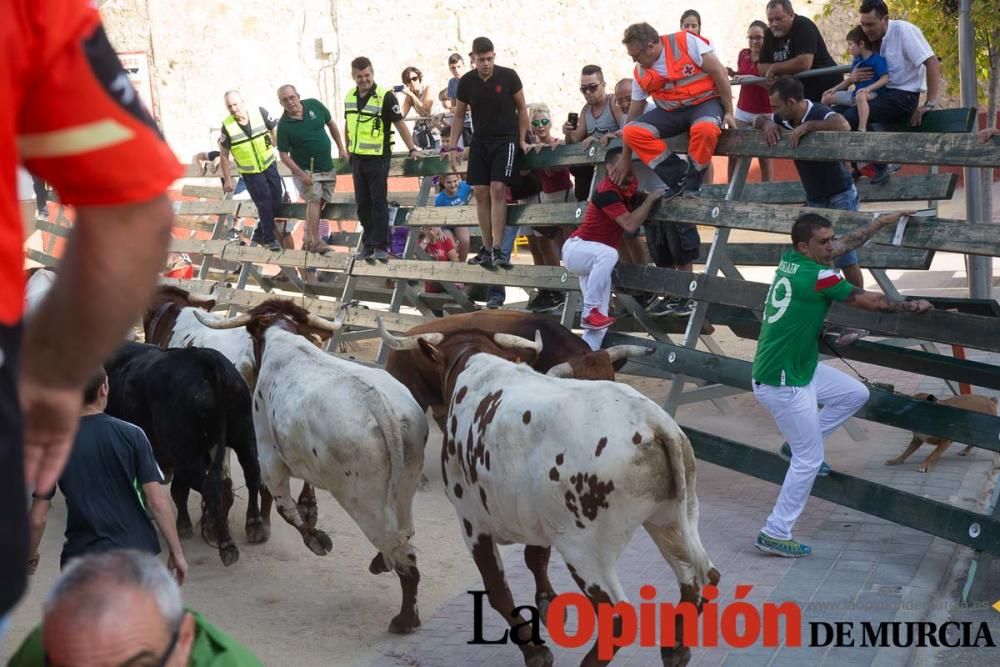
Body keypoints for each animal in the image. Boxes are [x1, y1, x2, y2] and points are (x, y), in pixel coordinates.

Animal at [105, 342, 266, 568]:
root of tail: (205, 360)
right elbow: (178, 490)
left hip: (185, 454)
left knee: (214, 488)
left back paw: (226, 544)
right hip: (243, 432)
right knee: (250, 473)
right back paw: (253, 525)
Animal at [197, 300, 428, 636]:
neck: (283, 340)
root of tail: (381, 410)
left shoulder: (268, 455)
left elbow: (284, 506)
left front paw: (316, 539)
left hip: (365, 502)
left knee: (403, 553)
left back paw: (404, 619)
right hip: (405, 488)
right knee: (405, 532)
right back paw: (382, 566)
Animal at [380, 326, 720, 667]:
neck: (477, 365)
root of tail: (655, 422)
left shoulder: (472, 523)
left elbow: (498, 590)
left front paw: (535, 650)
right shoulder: (539, 518)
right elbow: (535, 558)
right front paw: (547, 603)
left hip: (586, 550)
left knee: (616, 617)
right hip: (671, 520)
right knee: (697, 579)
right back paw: (676, 649)